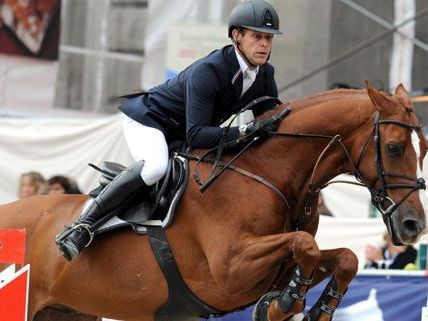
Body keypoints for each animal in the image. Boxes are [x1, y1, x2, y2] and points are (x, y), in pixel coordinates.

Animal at [0, 82, 426, 320]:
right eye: (393, 148)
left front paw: (315, 309)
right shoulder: (228, 269)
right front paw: (285, 303)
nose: (413, 226)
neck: (271, 173)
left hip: (66, 312)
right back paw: (76, 235)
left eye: (422, 148)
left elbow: (343, 257)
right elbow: (303, 244)